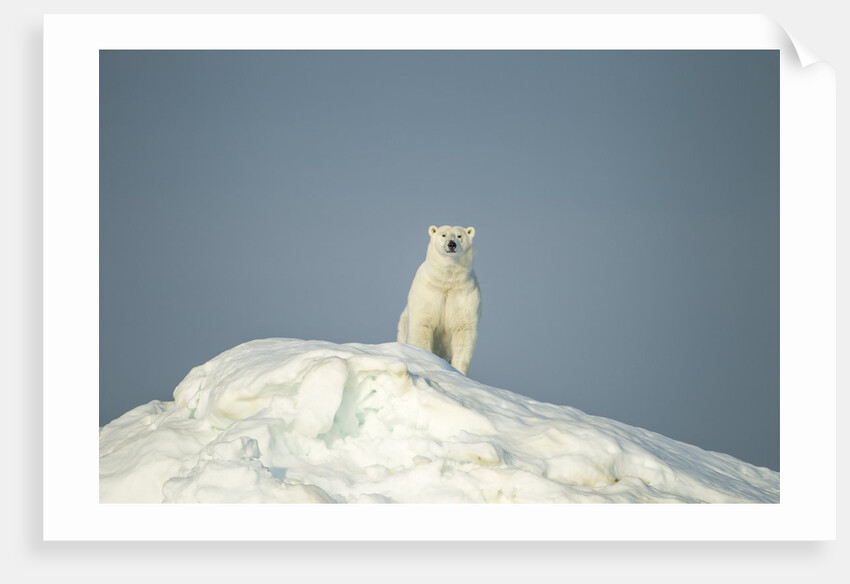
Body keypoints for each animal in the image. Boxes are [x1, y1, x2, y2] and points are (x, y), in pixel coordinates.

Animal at [397, 225, 481, 375]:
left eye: (459, 236)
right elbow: (423, 324)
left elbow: (463, 330)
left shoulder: (464, 296)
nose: (451, 244)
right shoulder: (428, 293)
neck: (446, 282)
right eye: (443, 235)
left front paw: (459, 371)